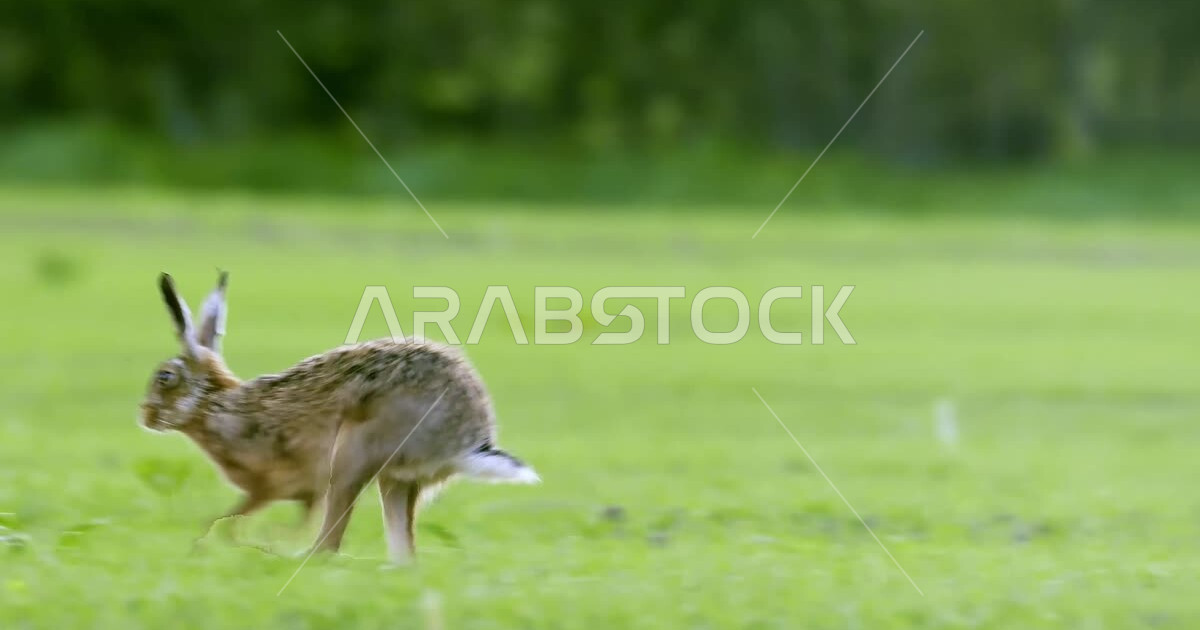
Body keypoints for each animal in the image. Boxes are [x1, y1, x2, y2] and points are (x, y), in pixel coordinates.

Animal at [139, 271, 538, 562]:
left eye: (165, 378)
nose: (144, 415)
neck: (217, 405)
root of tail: (469, 439)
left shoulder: (276, 484)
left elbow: (229, 520)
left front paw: (242, 540)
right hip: (394, 479)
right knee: (402, 551)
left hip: (351, 456)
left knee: (328, 545)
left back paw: (278, 554)